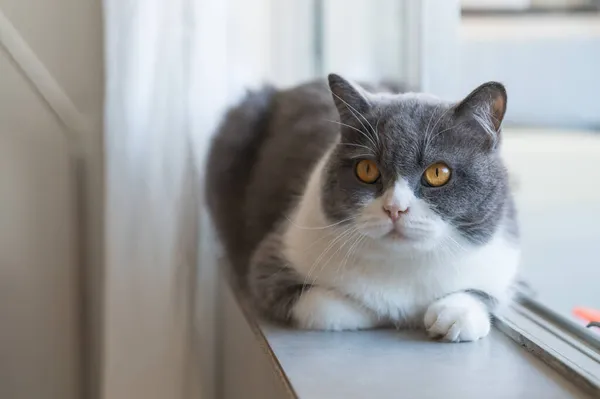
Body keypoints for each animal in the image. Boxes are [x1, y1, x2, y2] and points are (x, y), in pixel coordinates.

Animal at [205, 73, 516, 342]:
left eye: (438, 173)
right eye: (366, 169)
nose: (395, 208)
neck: (400, 266)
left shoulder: (501, 257)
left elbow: (484, 296)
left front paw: (452, 315)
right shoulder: (272, 258)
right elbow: (330, 307)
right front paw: (382, 312)